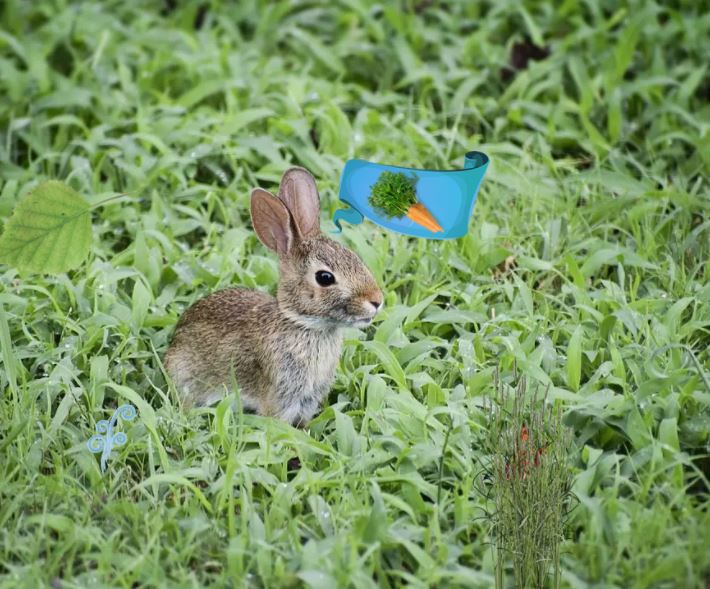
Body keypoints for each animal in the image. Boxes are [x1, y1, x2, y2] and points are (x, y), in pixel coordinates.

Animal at [163, 168, 384, 424]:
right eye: (325, 278)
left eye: (354, 256)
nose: (377, 301)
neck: (304, 323)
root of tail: (175, 341)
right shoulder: (281, 398)